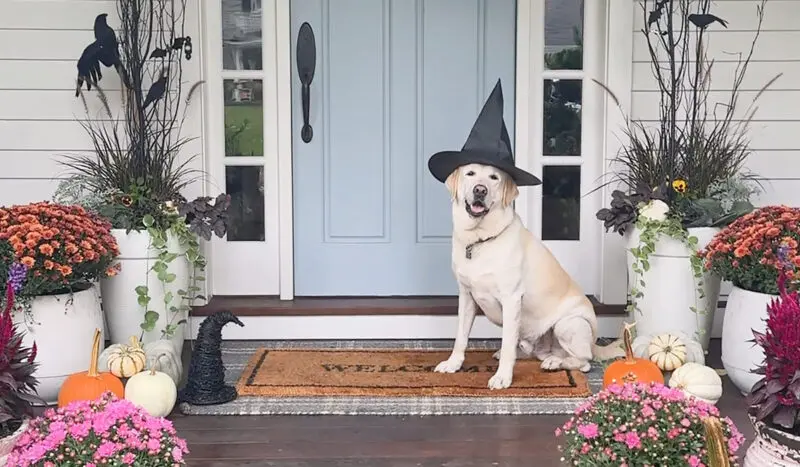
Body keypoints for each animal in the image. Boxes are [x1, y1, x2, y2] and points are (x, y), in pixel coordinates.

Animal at [432, 165, 624, 392]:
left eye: (494, 177)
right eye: (470, 173)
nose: (480, 190)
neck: (480, 239)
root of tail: (594, 343)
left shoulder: (511, 299)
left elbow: (507, 344)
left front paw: (502, 378)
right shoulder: (466, 296)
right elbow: (460, 337)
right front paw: (453, 363)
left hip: (569, 324)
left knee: (584, 361)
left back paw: (555, 362)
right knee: (535, 350)